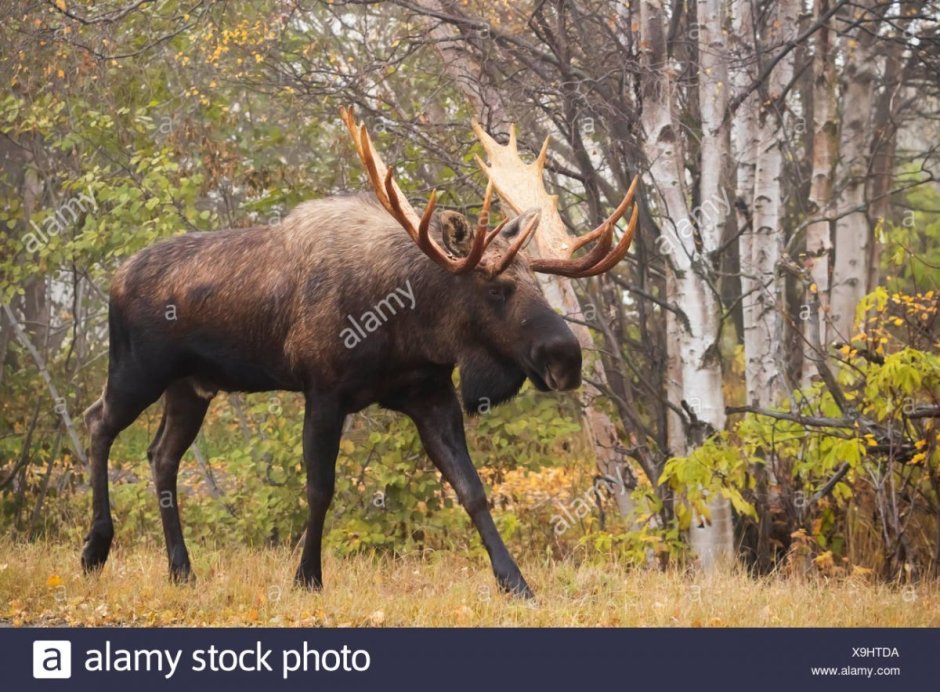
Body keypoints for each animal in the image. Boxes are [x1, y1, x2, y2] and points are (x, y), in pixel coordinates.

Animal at [80, 107, 638, 598]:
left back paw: (181, 569)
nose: (566, 359)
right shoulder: (324, 391)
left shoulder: (430, 395)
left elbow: (472, 491)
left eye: (539, 286)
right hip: (136, 370)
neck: (411, 328)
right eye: (498, 288)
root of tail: (115, 278)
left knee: (161, 454)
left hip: (191, 387)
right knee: (98, 421)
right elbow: (320, 488)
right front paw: (307, 577)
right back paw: (95, 549)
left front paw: (515, 583)